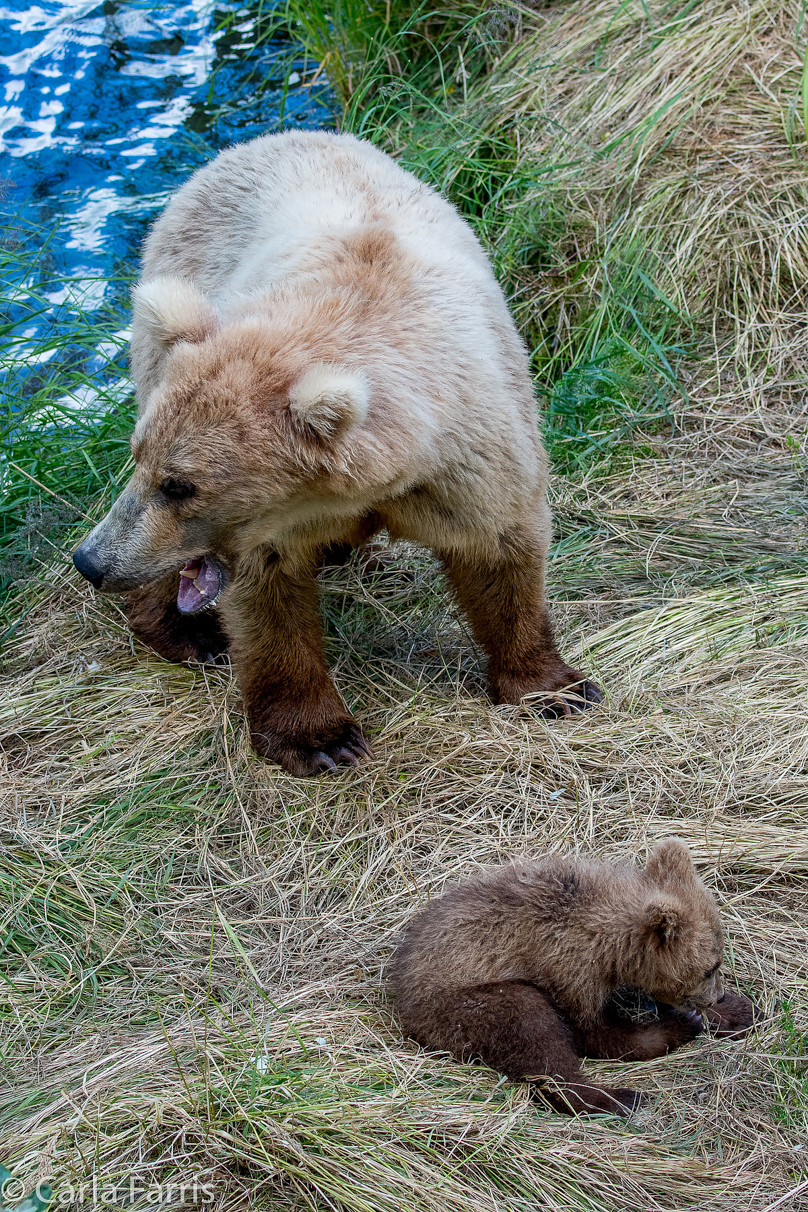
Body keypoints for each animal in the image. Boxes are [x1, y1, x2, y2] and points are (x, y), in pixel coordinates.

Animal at [74, 130, 600, 775]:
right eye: (141, 458)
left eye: (181, 485)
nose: (91, 561)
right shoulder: (268, 533)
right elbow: (270, 601)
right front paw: (322, 740)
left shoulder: (472, 449)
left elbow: (501, 548)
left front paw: (555, 687)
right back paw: (187, 634)